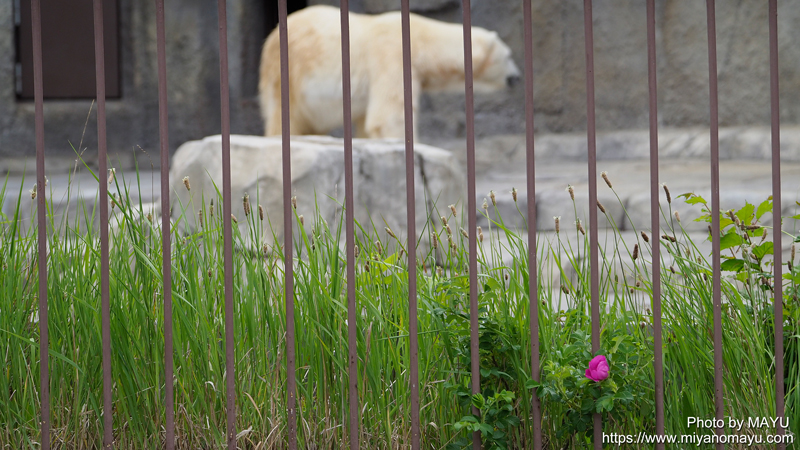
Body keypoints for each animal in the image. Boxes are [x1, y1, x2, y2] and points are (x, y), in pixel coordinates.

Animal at [256, 4, 520, 139]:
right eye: (508, 56)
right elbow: (389, 116)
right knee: (285, 115)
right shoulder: (392, 56)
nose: (517, 77)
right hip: (290, 72)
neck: (421, 39)